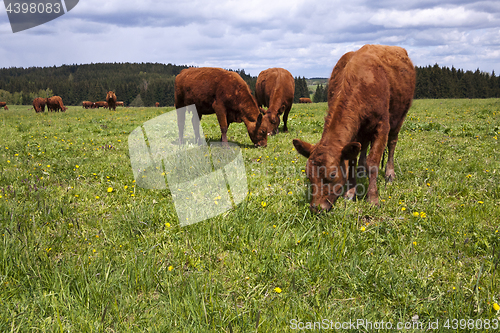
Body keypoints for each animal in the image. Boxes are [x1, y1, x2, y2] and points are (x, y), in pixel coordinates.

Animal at [292, 44, 416, 210]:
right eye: (308, 174)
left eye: (332, 174)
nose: (316, 207)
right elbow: (351, 162)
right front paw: (350, 193)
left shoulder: (382, 125)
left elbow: (373, 163)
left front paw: (372, 198)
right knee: (363, 146)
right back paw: (362, 170)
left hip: (399, 117)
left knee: (392, 143)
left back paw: (389, 173)